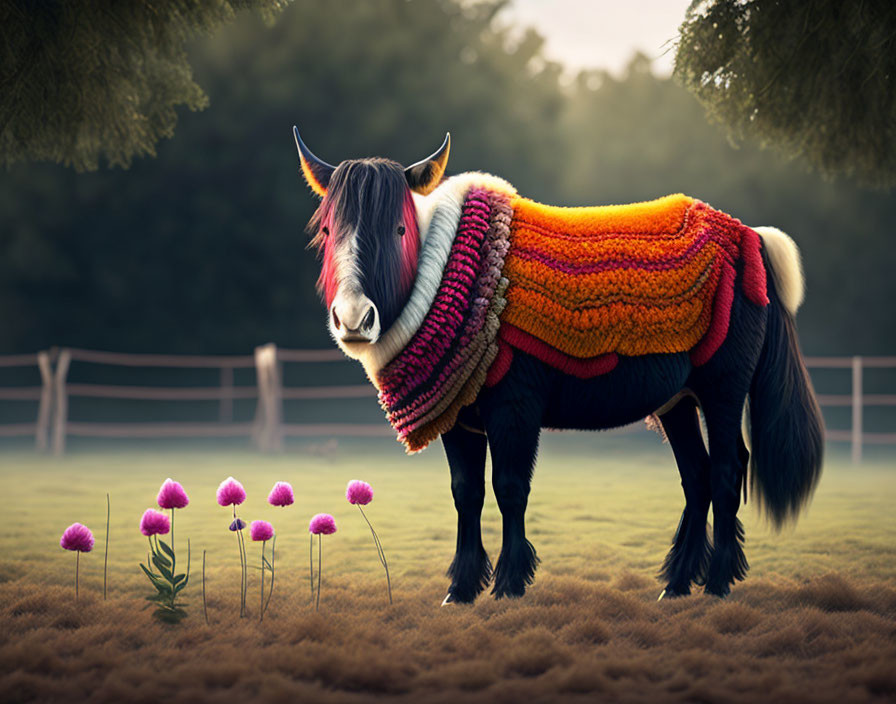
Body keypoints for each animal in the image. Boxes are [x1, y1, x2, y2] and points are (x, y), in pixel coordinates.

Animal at [294, 129, 824, 604]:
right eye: (327, 230)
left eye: (399, 229)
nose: (353, 318)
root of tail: (749, 237)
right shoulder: (460, 422)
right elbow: (466, 493)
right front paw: (460, 591)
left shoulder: (516, 409)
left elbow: (509, 488)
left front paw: (509, 585)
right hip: (678, 401)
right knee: (697, 476)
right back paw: (675, 586)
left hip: (723, 389)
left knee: (727, 471)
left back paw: (716, 584)